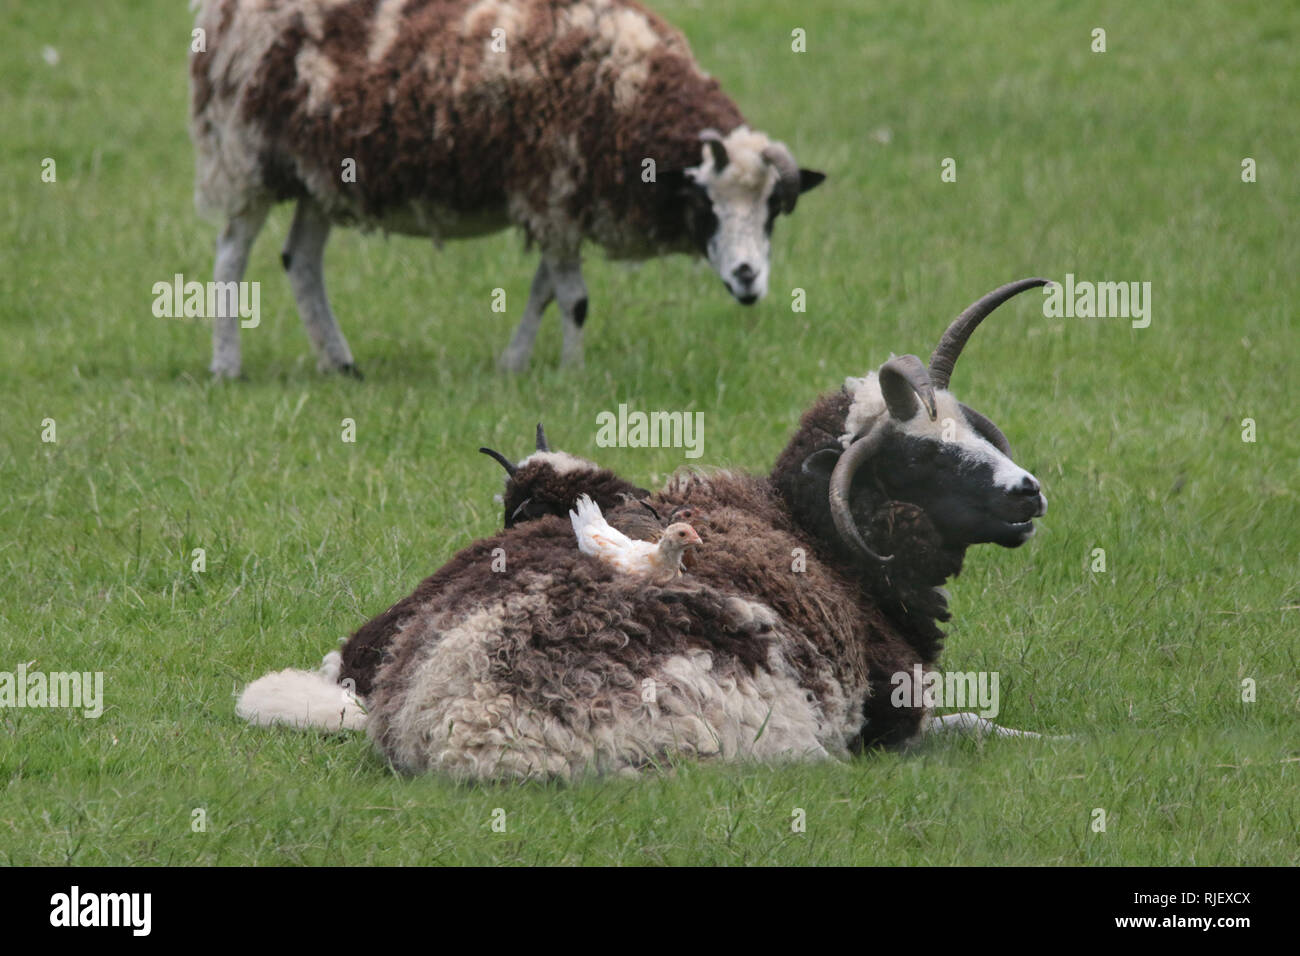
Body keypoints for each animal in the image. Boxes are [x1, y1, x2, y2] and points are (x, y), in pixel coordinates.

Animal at [189, 0, 825, 378]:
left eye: (773, 212)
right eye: (704, 204)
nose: (748, 277)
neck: (630, 92)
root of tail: (220, 12)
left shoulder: (555, 204)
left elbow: (544, 291)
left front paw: (514, 365)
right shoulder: (554, 192)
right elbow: (574, 299)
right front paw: (572, 373)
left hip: (320, 174)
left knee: (300, 260)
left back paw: (340, 364)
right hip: (246, 155)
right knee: (230, 258)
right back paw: (226, 365)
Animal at [237, 278, 1057, 776]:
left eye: (972, 430)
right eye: (920, 460)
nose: (1030, 494)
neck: (824, 544)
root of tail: (446, 715)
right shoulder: (890, 712)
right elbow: (972, 726)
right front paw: (1055, 741)